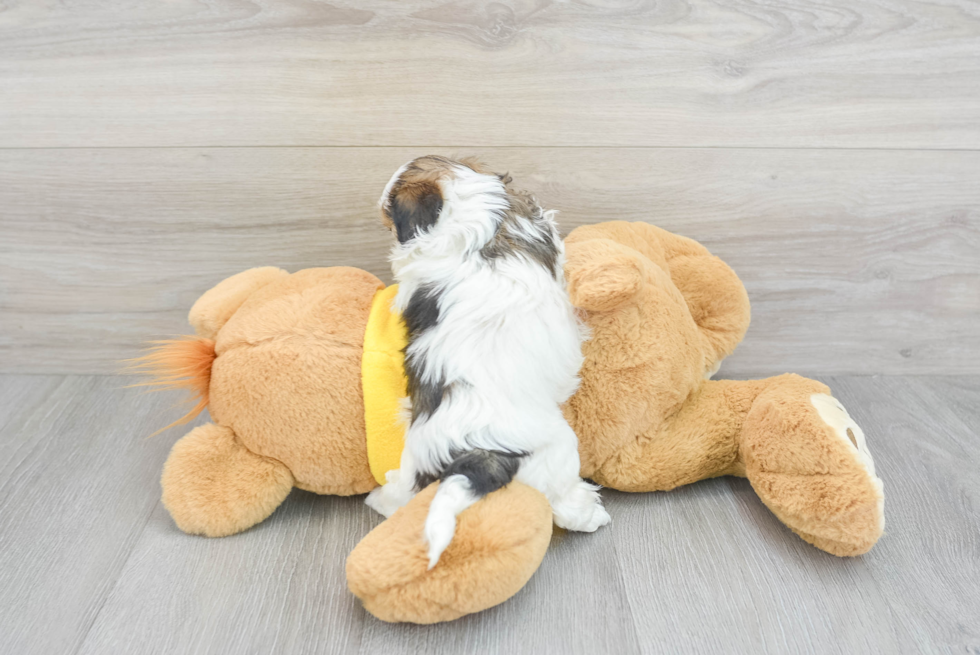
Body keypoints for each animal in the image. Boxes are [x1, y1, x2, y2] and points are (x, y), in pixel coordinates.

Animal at [364, 155, 608, 568]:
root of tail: (475, 454)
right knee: (562, 503)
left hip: (417, 463)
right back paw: (591, 513)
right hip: (558, 451)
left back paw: (381, 498)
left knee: (404, 494)